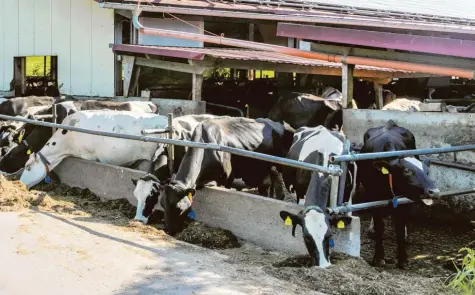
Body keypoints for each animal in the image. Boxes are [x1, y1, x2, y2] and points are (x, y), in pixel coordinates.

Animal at [136, 117, 296, 236]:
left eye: (179, 208)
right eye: (162, 204)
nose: (168, 230)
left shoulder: (224, 179)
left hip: (277, 168)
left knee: (279, 189)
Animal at [358, 121, 440, 270]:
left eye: (427, 171)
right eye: (407, 170)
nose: (434, 191)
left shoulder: (405, 201)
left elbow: (400, 228)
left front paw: (403, 259)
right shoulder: (373, 198)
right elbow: (380, 226)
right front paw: (378, 257)